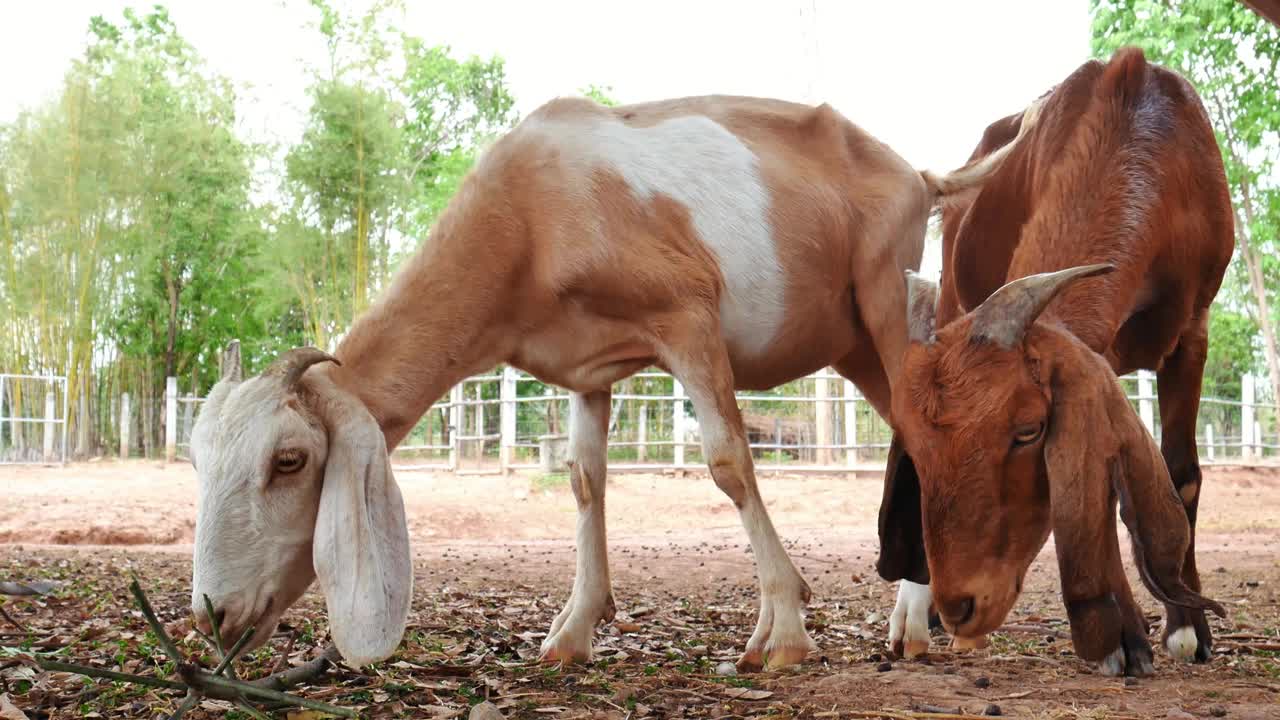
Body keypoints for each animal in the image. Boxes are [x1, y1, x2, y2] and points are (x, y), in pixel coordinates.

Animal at [880, 44, 1228, 671]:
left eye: (1028, 431)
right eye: (917, 448)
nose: (962, 603)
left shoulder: (1193, 331)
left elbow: (1180, 473)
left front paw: (1188, 629)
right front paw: (1124, 637)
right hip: (951, 292)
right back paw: (915, 618)